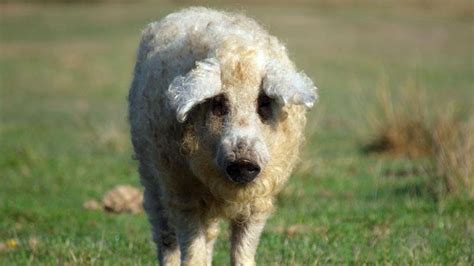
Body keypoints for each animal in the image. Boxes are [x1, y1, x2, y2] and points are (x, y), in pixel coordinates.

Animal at [128, 7, 316, 266]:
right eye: (218, 103)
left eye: (264, 102)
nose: (243, 161)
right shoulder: (184, 193)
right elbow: (192, 250)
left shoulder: (259, 199)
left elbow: (243, 251)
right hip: (151, 176)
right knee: (165, 235)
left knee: (209, 234)